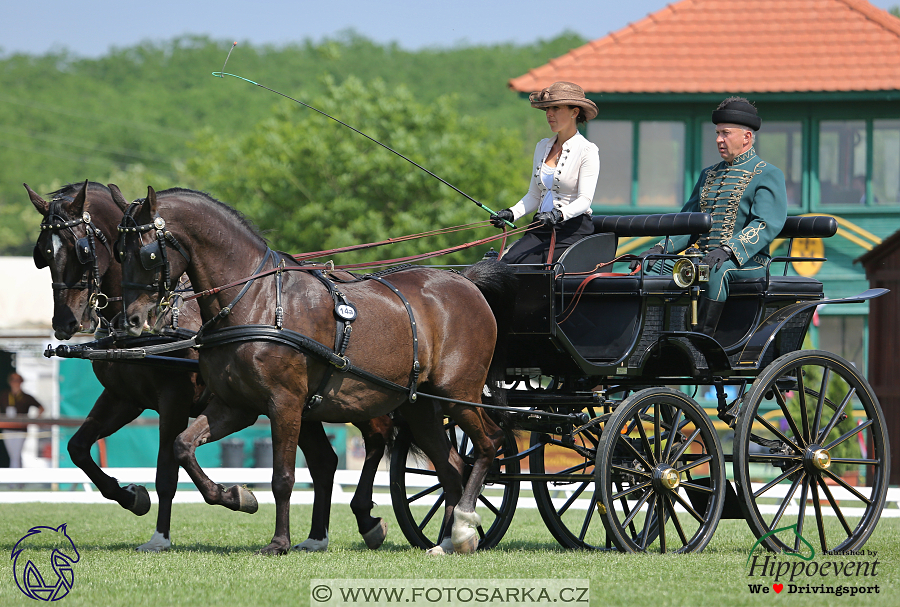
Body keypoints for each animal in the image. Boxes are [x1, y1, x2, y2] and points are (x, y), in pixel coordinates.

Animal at [28, 179, 392, 552]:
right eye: (43, 253)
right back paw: (318, 536)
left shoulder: (173, 399)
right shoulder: (123, 398)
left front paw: (162, 535)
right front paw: (131, 496)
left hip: (355, 397)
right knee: (324, 461)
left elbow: (166, 472)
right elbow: (78, 448)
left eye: (82, 249)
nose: (64, 323)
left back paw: (366, 518)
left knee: (378, 439)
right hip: (306, 405)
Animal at [116, 185, 516, 556]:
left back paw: (463, 525)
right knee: (451, 469)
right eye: (119, 253)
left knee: (489, 443)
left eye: (147, 254)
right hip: (421, 407)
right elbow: (183, 447)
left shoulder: (284, 404)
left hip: (458, 394)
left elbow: (283, 476)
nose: (131, 319)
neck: (257, 300)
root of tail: (466, 281)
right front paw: (236, 496)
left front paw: (278, 542)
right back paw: (446, 541)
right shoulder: (236, 407)